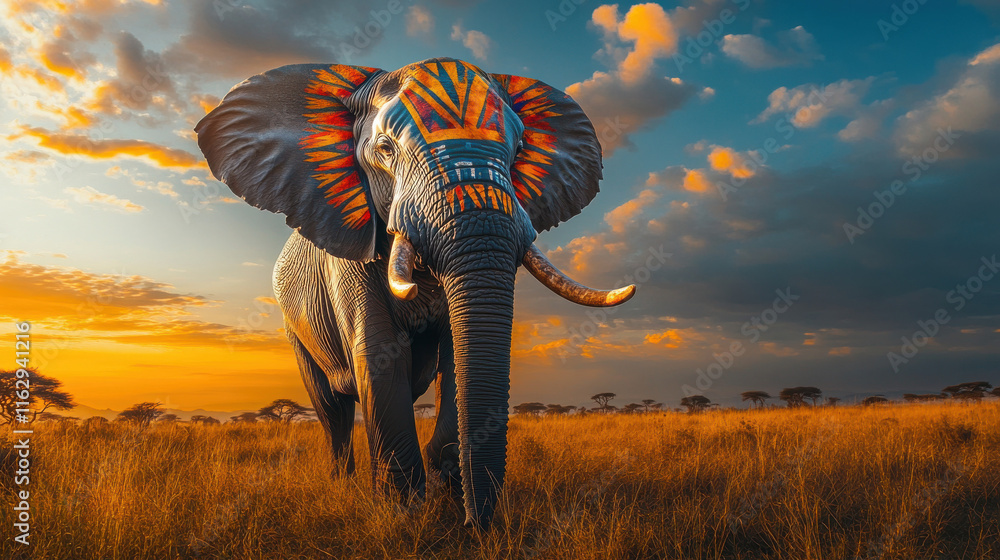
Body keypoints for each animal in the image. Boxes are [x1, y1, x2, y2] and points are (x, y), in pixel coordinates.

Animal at [195, 57, 635, 528]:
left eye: (518, 151)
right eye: (386, 149)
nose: (478, 527)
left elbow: (455, 358)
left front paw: (447, 492)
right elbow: (380, 352)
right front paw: (402, 514)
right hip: (295, 326)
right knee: (332, 410)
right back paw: (342, 485)